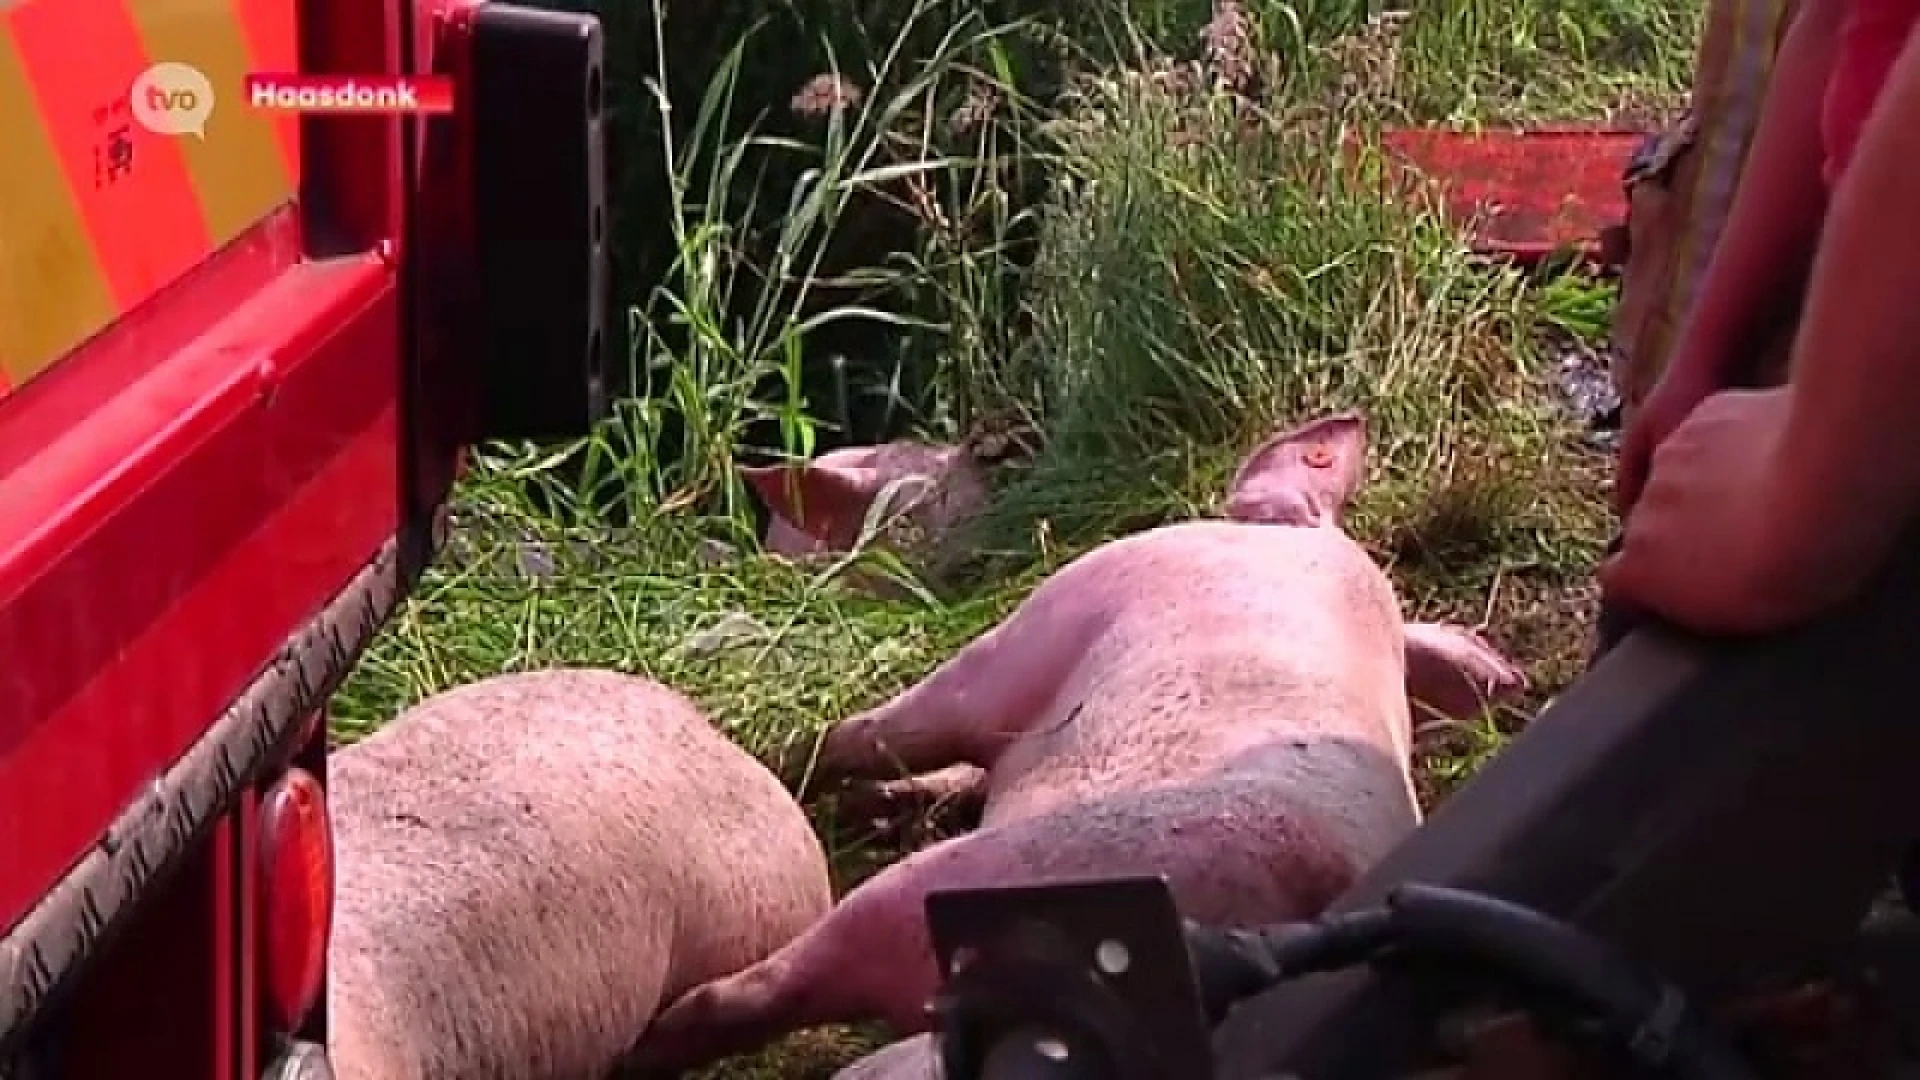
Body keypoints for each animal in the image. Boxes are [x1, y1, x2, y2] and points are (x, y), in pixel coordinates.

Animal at [629, 409, 1528, 1068]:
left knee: (752, 991)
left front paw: (796, 756)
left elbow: (877, 730)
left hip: (964, 876)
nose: (998, 433)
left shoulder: (1034, 632)